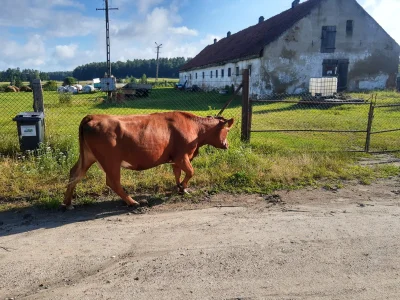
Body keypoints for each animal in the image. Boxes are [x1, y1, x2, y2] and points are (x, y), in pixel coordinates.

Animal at [63, 111, 234, 210]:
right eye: (227, 130)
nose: (227, 145)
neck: (196, 128)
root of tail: (92, 116)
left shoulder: (175, 158)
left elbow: (177, 173)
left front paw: (180, 187)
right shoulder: (182, 155)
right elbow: (191, 172)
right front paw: (184, 187)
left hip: (88, 156)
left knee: (75, 174)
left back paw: (67, 203)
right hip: (111, 161)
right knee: (113, 182)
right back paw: (132, 202)